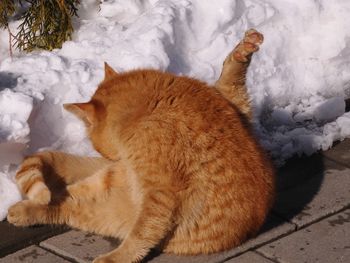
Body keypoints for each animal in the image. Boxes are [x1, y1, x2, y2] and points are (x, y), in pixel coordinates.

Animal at [6, 29, 274, 263]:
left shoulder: (160, 193)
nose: (112, 158)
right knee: (62, 198)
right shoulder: (233, 108)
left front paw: (117, 258)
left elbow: (142, 232)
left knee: (66, 202)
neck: (147, 106)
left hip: (107, 193)